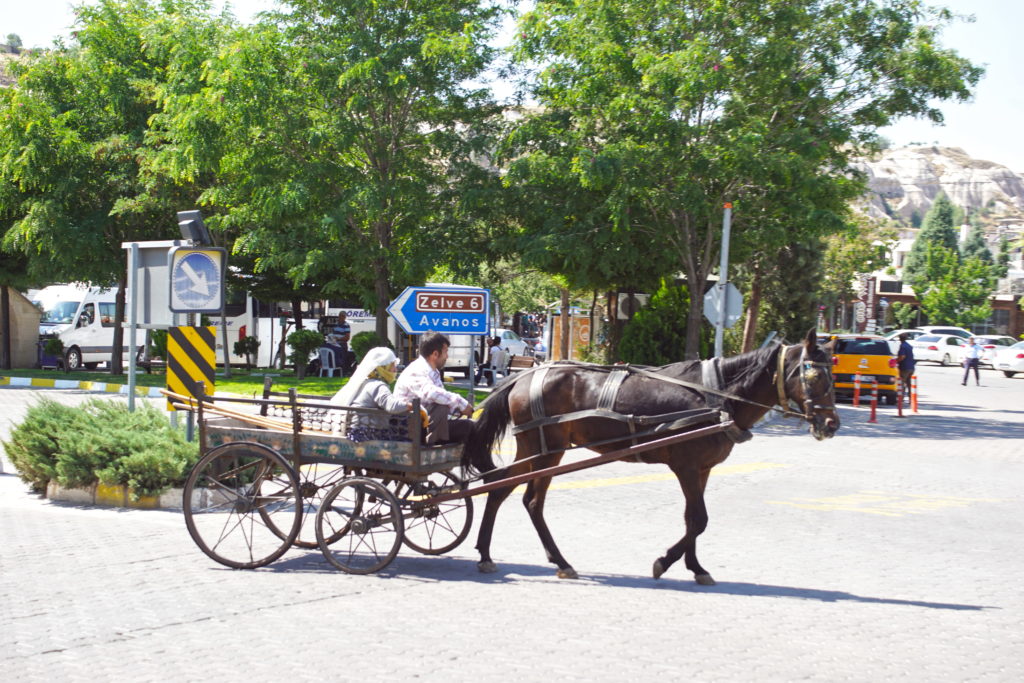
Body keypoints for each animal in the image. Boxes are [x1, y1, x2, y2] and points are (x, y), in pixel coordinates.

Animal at [464, 327, 839, 585]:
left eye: (832, 376)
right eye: (813, 374)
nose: (831, 424)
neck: (718, 396)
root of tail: (523, 376)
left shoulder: (702, 469)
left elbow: (692, 519)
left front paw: (695, 567)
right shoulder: (686, 466)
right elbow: (699, 519)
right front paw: (665, 562)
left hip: (541, 450)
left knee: (511, 494)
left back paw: (522, 555)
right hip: (542, 450)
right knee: (518, 496)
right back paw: (518, 556)